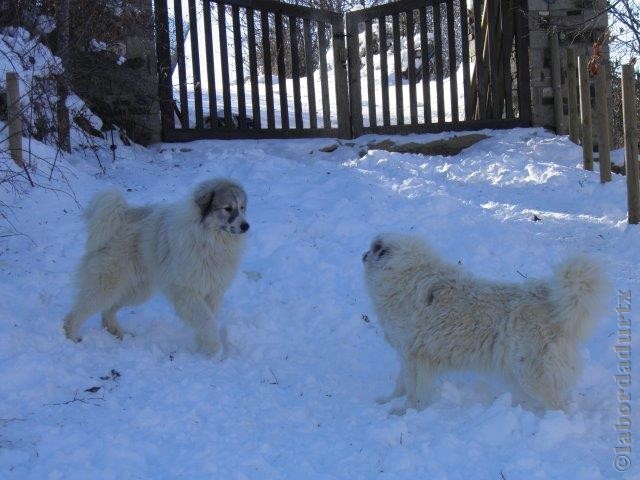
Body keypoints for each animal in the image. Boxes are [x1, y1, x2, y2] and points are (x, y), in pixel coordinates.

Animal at [61, 178, 249, 354]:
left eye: (242, 207)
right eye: (228, 208)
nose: (246, 226)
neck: (208, 239)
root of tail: (121, 217)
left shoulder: (213, 291)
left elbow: (207, 319)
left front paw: (203, 347)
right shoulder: (187, 292)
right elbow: (206, 320)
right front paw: (214, 349)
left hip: (135, 291)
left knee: (107, 312)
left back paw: (120, 334)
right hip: (106, 286)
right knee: (75, 314)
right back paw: (71, 337)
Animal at [362, 232, 608, 412]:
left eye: (375, 247)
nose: (363, 253)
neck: (404, 275)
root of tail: (552, 303)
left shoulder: (417, 358)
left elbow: (415, 394)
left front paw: (404, 412)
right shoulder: (406, 354)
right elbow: (400, 384)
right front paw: (387, 401)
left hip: (533, 375)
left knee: (562, 407)